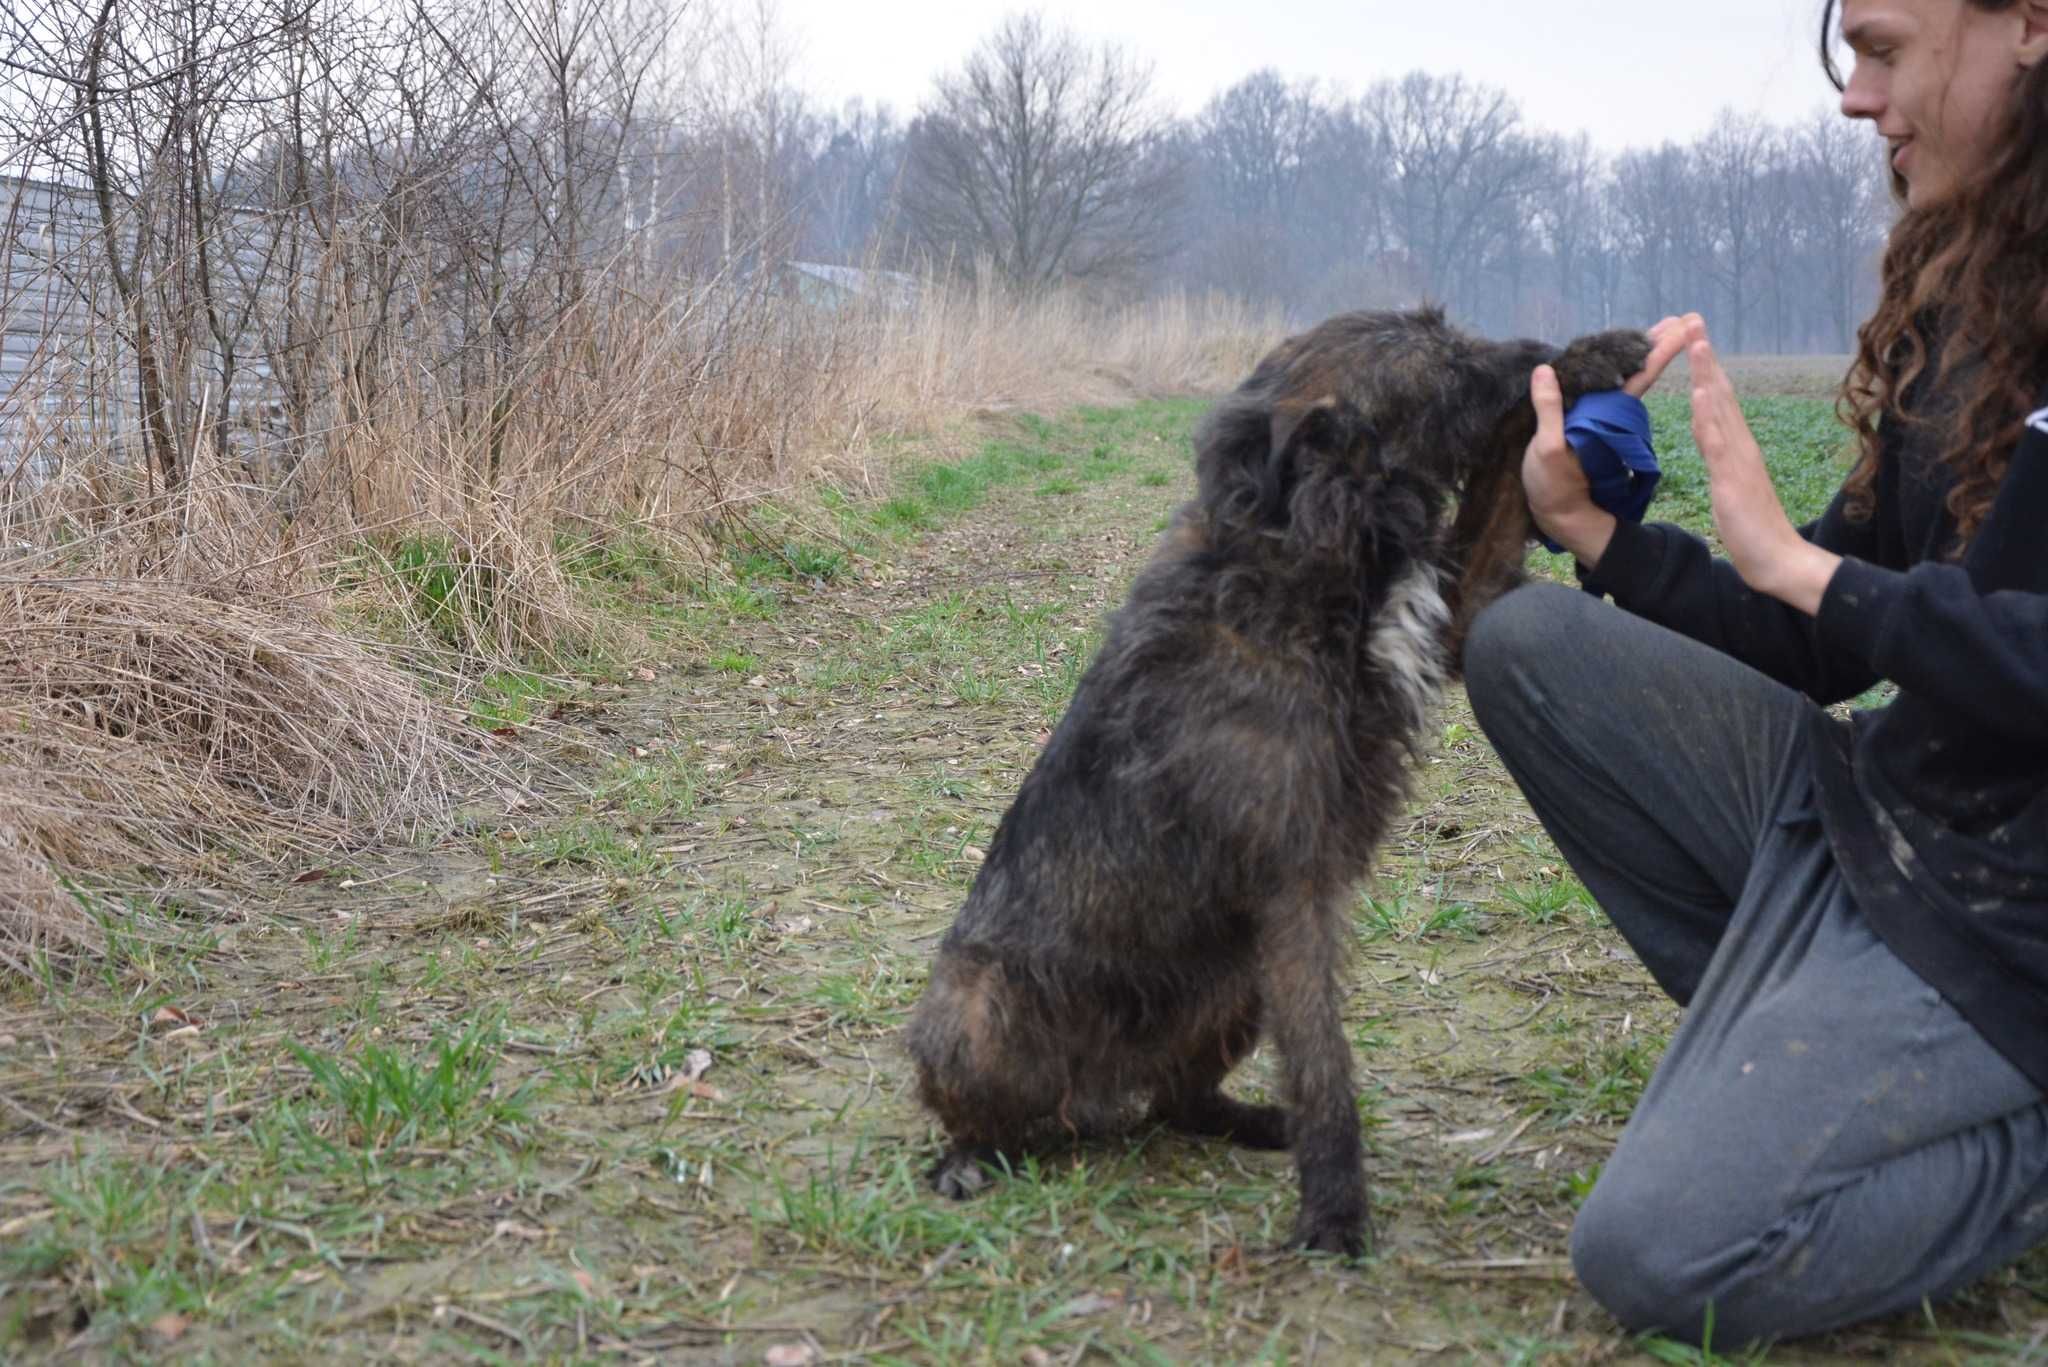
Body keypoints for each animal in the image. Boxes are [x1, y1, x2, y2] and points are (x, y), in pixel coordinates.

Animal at [905, 307, 1654, 1254]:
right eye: (1446, 362)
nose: (1532, 350)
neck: (1301, 543)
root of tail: (1097, 1095)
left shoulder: (1456, 616)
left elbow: (1505, 499)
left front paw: (1593, 358)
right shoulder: (1293, 889)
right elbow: (1324, 1065)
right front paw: (1334, 1211)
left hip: (1232, 989)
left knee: (1178, 1099)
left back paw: (1248, 1120)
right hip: (983, 1005)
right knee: (989, 1112)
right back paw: (971, 1156)